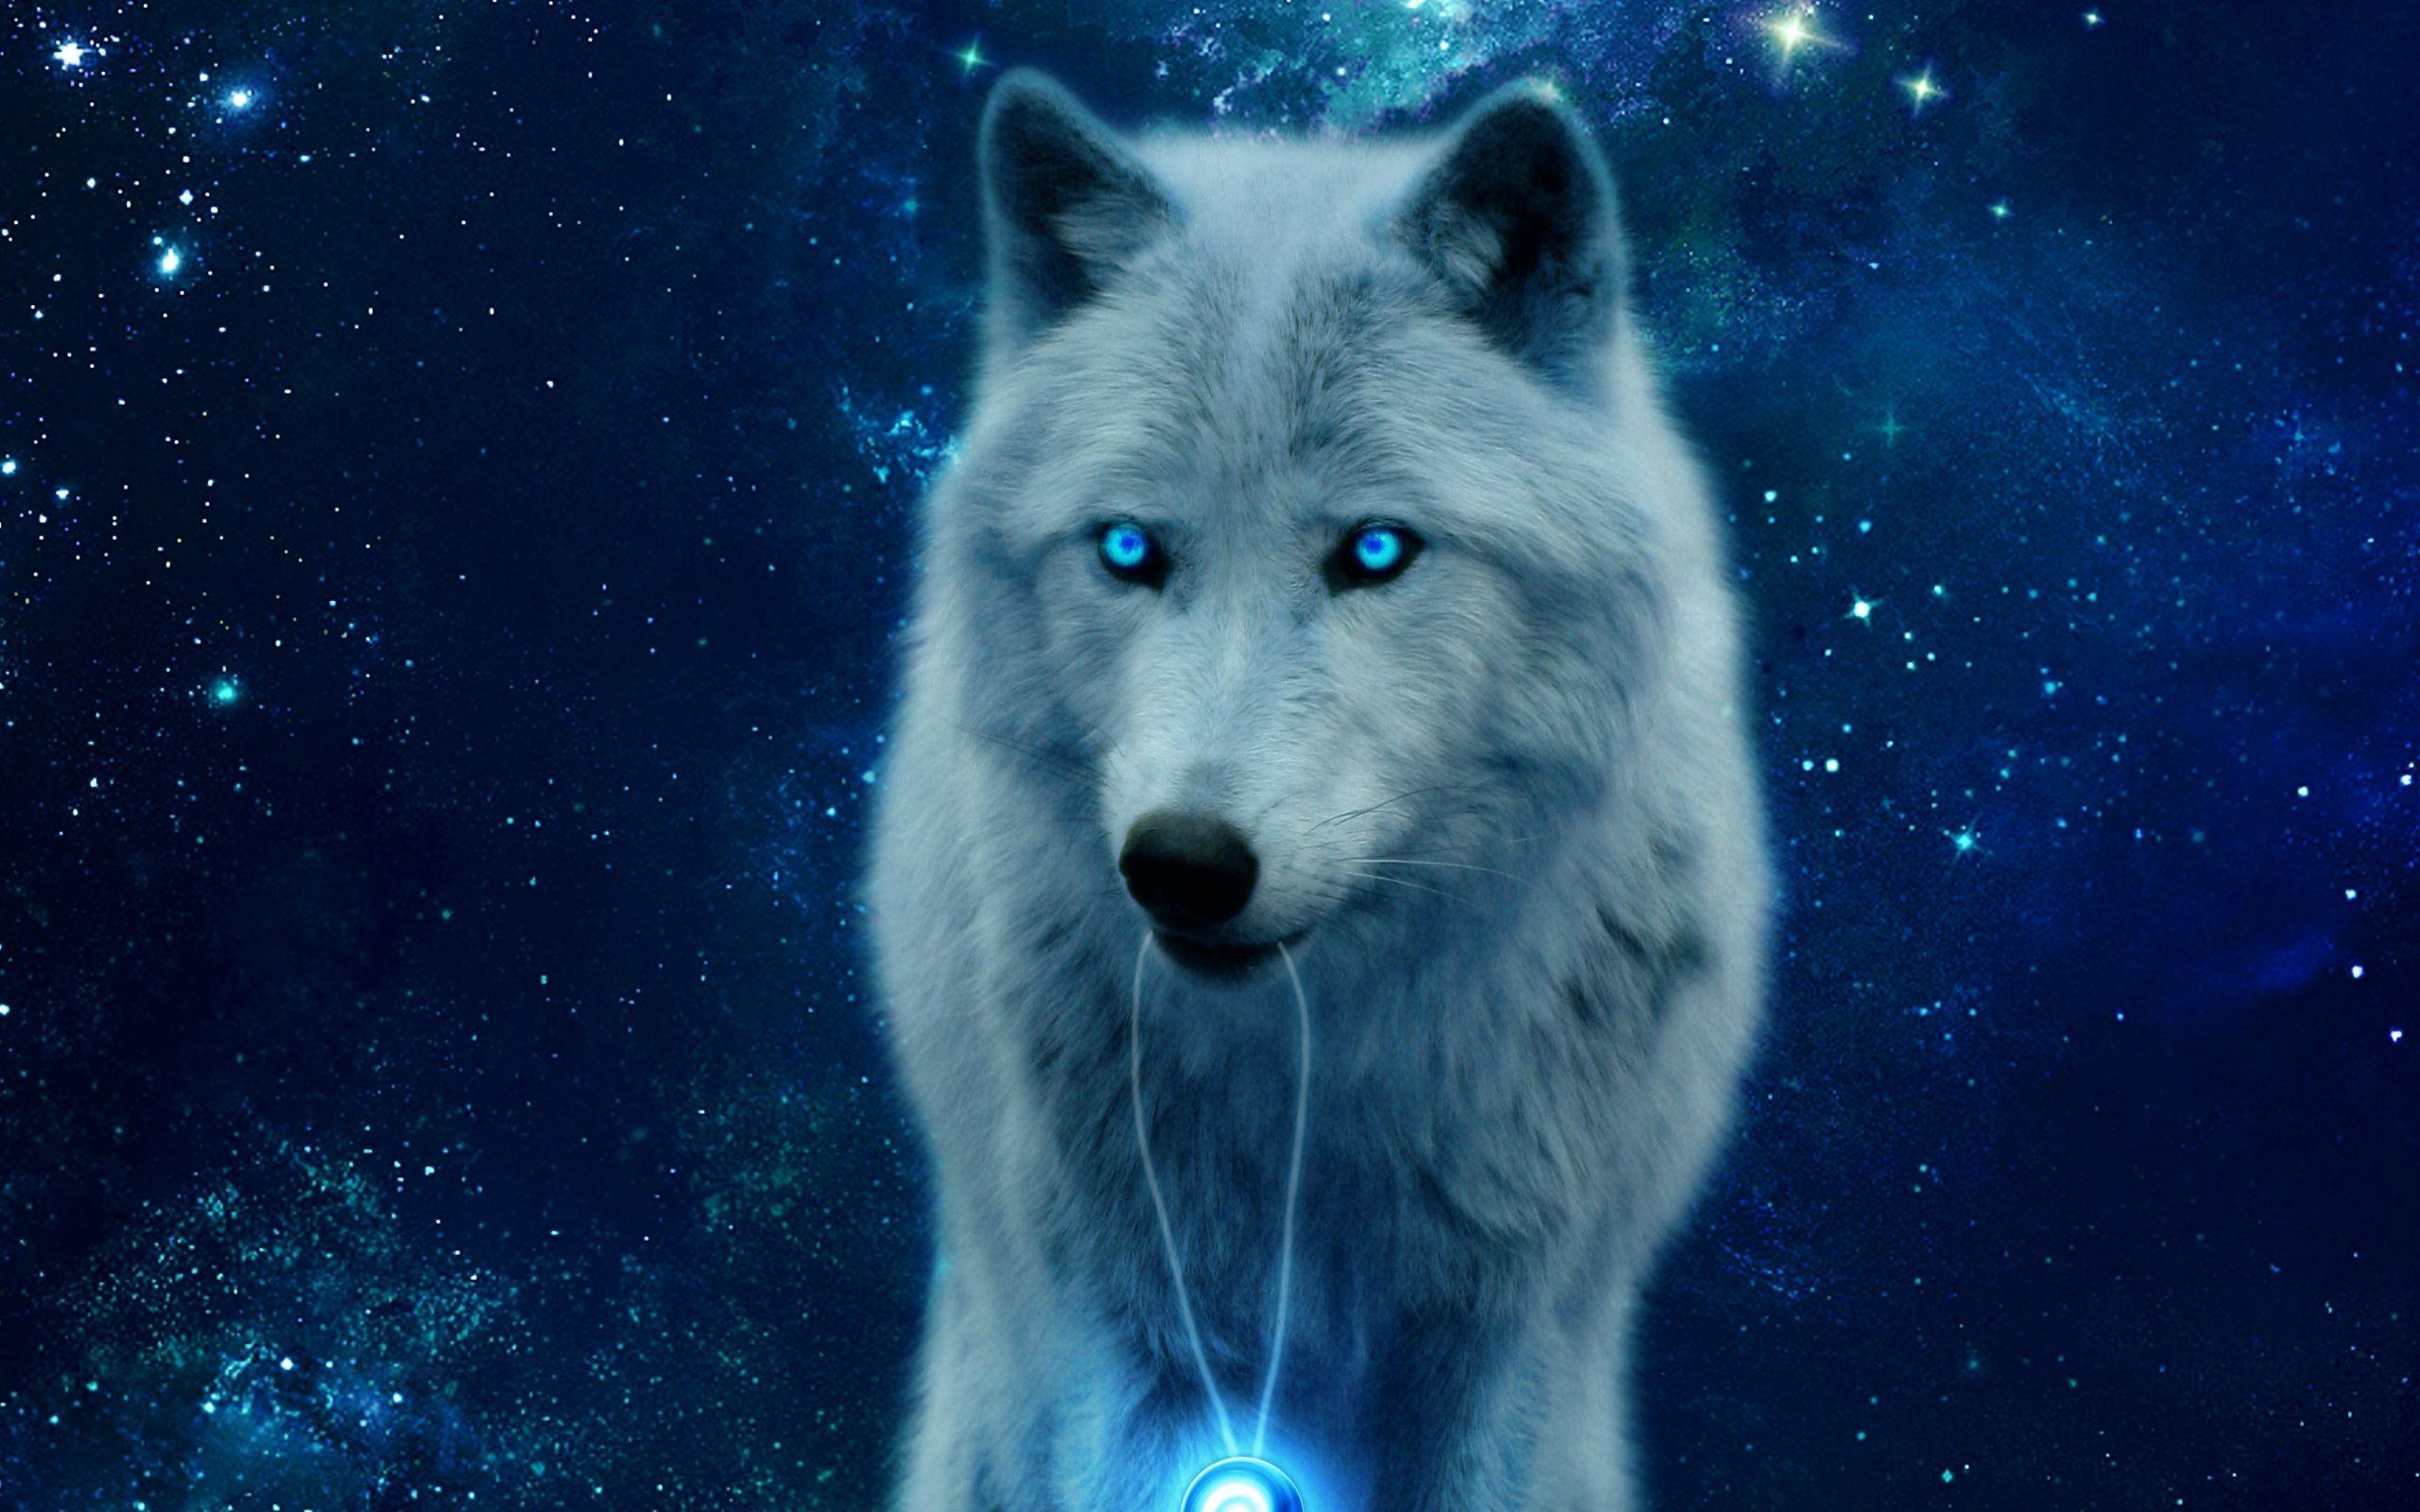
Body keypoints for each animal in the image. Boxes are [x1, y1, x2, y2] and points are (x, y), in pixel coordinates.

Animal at [866, 69, 1770, 1512]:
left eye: (1377, 551)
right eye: (1129, 549)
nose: (1182, 861)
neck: (1319, 1075)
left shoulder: (1494, 1341)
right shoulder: (1132, 1335)